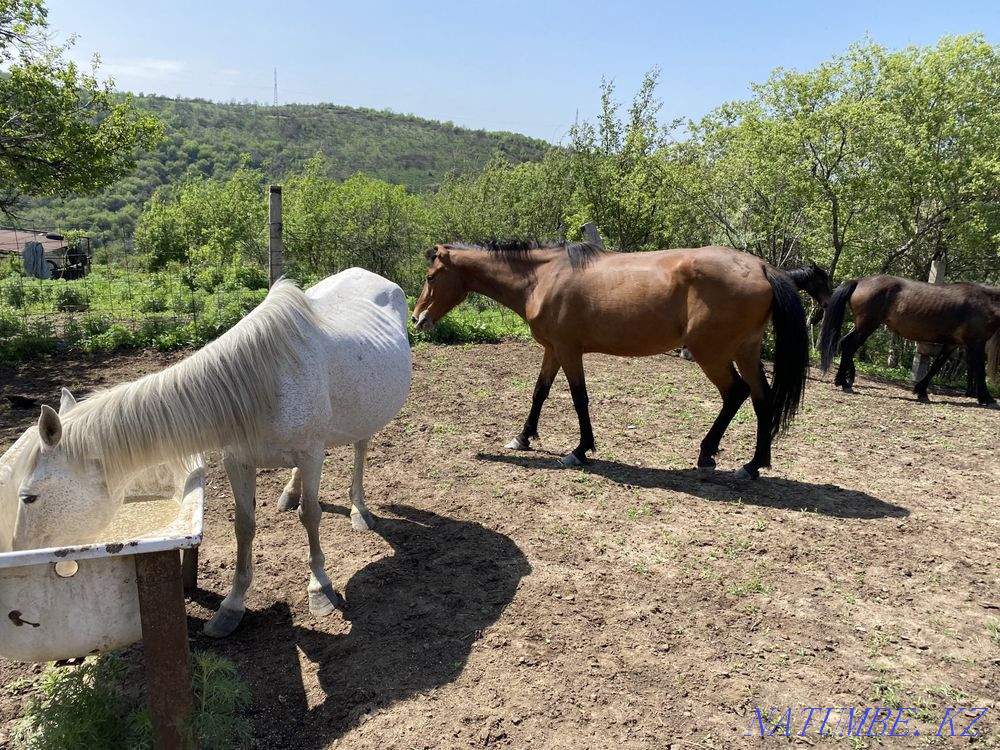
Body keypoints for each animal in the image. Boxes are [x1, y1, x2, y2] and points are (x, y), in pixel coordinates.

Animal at [2, 268, 412, 637]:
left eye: (29, 497)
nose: (18, 551)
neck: (261, 386)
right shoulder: (238, 461)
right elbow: (244, 526)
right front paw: (231, 608)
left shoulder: (311, 454)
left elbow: (311, 517)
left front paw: (320, 588)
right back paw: (289, 493)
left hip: (365, 416)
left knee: (360, 447)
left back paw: (358, 510)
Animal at [411, 241, 811, 480]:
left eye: (431, 277)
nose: (417, 319)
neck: (543, 277)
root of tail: (761, 268)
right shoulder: (553, 349)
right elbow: (539, 392)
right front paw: (522, 438)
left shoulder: (569, 350)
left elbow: (578, 398)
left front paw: (579, 450)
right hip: (745, 351)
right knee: (761, 399)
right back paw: (752, 465)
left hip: (713, 354)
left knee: (736, 393)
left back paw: (711, 455)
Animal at [819, 275, 1000, 405]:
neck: (986, 301)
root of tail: (860, 281)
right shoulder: (976, 343)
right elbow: (979, 370)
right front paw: (987, 398)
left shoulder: (953, 343)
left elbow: (936, 366)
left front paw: (921, 391)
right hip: (867, 326)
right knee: (849, 346)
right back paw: (845, 382)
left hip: (861, 326)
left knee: (845, 343)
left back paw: (843, 379)